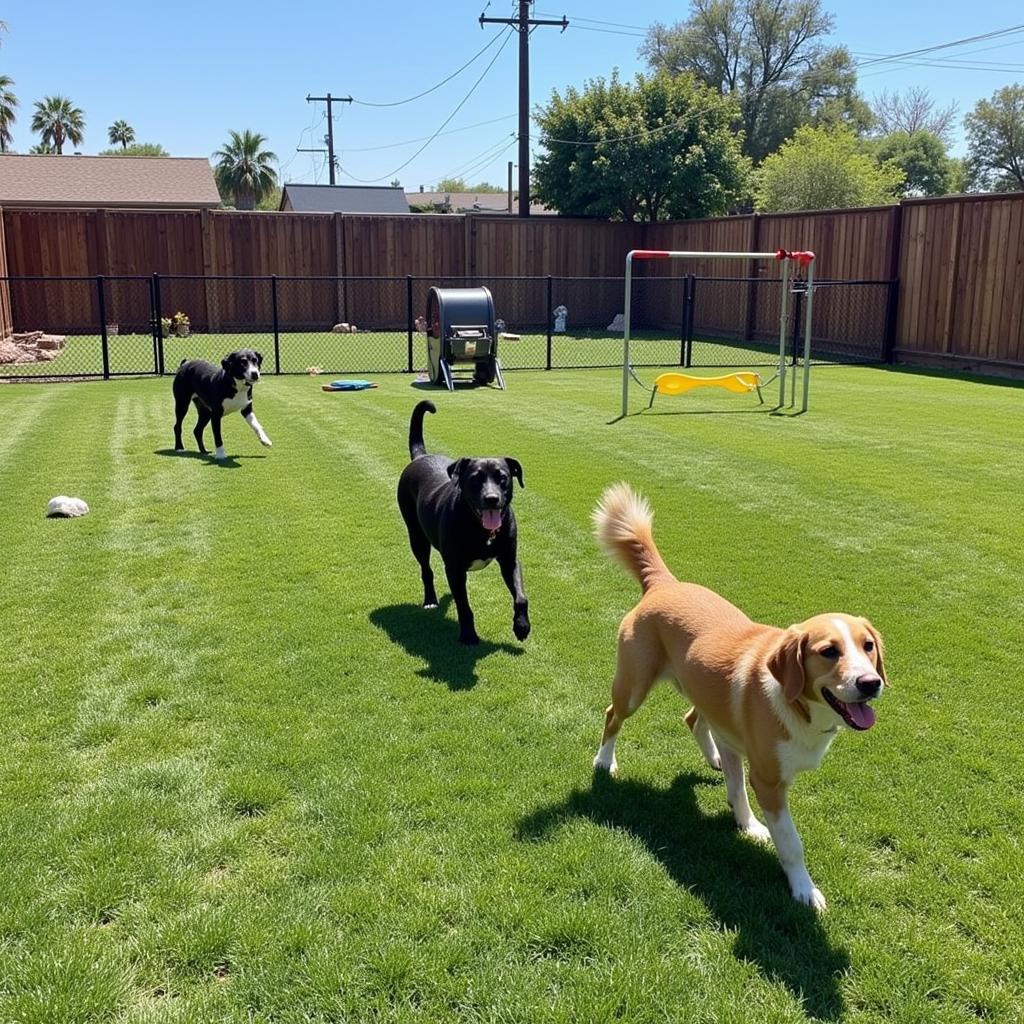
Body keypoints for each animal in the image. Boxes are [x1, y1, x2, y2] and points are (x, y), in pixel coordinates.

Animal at [397, 395, 532, 643]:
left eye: (503, 477)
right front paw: (469, 635)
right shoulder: (455, 568)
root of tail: (421, 456)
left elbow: (521, 597)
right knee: (426, 569)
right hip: (417, 537)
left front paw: (521, 626)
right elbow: (464, 605)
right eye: (475, 478)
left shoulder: (509, 560)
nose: (491, 499)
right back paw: (430, 600)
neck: (481, 530)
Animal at [593, 483, 888, 909]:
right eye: (828, 651)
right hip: (633, 685)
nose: (870, 683)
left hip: (702, 691)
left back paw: (714, 758)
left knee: (693, 719)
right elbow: (791, 843)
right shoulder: (768, 781)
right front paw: (804, 889)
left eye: (868, 646)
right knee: (612, 714)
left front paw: (746, 823)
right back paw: (604, 761)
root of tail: (664, 583)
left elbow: (737, 787)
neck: (798, 707)